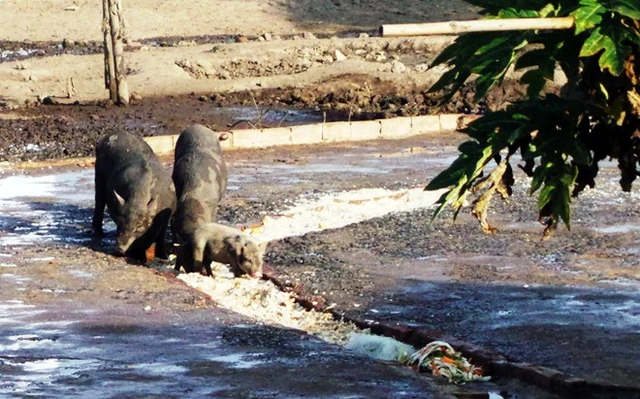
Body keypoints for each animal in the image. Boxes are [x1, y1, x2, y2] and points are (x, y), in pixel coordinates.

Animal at [91, 130, 176, 262]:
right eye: (120, 223)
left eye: (139, 226)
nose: (120, 249)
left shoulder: (167, 214)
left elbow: (160, 236)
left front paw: (164, 257)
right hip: (98, 173)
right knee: (99, 202)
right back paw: (97, 233)